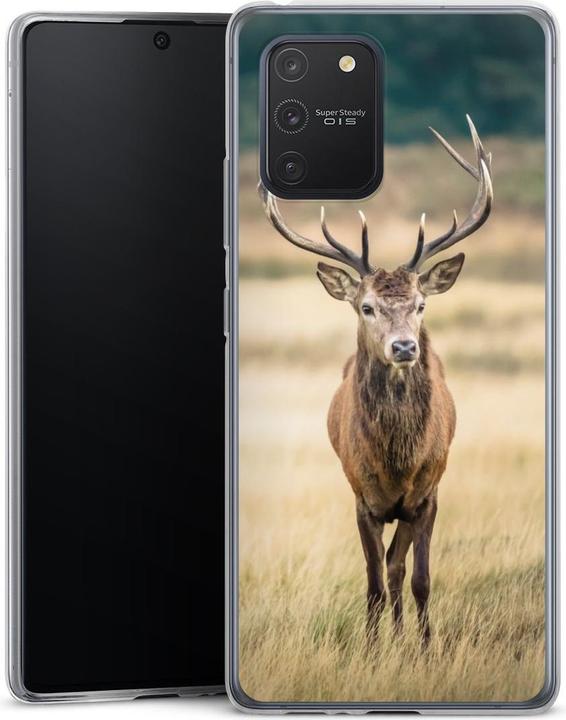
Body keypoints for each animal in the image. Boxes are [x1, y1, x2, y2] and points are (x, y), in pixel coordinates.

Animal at [258, 116, 493, 645]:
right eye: (366, 307)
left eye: (421, 305)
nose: (404, 347)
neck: (397, 462)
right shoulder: (361, 497)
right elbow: (371, 584)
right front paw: (370, 647)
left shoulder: (427, 494)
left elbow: (418, 577)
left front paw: (425, 647)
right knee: (385, 570)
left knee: (398, 567)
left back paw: (404, 635)